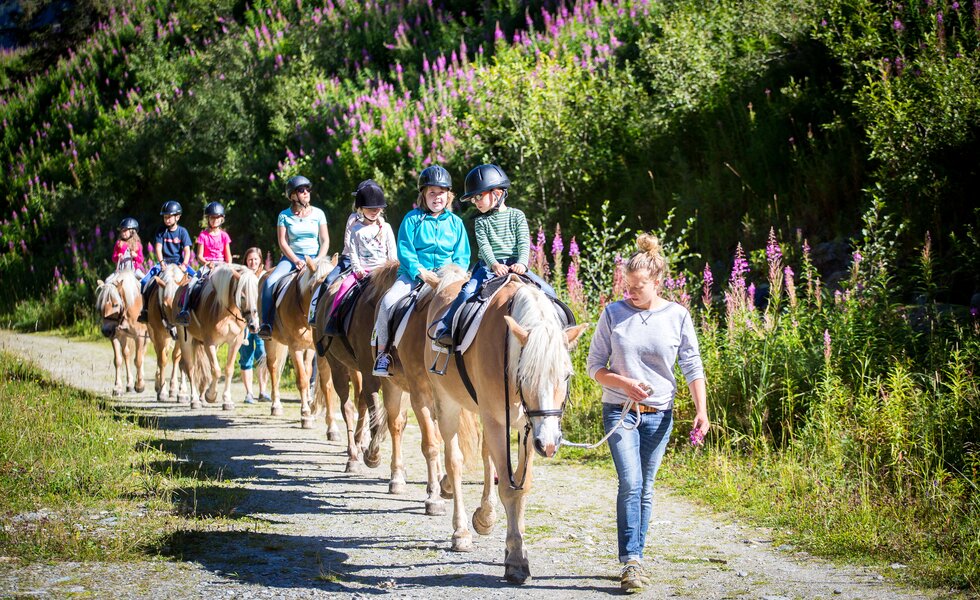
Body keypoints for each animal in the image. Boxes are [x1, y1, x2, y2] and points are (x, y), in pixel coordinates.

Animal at [146, 264, 189, 400]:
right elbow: (163, 360)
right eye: (165, 305)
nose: (174, 332)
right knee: (159, 354)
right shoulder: (159, 335)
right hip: (153, 334)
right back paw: (157, 384)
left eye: (180, 303)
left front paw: (178, 390)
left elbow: (177, 357)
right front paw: (163, 391)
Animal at [169, 264, 258, 410]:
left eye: (257, 295)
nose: (253, 326)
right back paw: (195, 400)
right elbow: (216, 370)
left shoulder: (235, 342)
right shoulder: (209, 343)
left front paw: (227, 400)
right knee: (190, 367)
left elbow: (228, 369)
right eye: (242, 296)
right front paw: (210, 395)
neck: (227, 313)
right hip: (185, 339)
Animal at [262, 255, 338, 424]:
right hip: (270, 341)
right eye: (315, 289)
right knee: (273, 368)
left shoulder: (314, 348)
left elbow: (316, 378)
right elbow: (302, 380)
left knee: (306, 369)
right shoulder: (294, 347)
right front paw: (305, 412)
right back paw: (276, 405)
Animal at [420, 264, 584, 584]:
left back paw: (484, 516)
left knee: (487, 459)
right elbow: (509, 488)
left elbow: (521, 484)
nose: (550, 445)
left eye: (567, 376)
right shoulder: (498, 420)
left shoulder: (528, 427)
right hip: (447, 404)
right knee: (454, 462)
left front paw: (513, 542)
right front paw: (517, 560)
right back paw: (461, 532)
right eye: (525, 375)